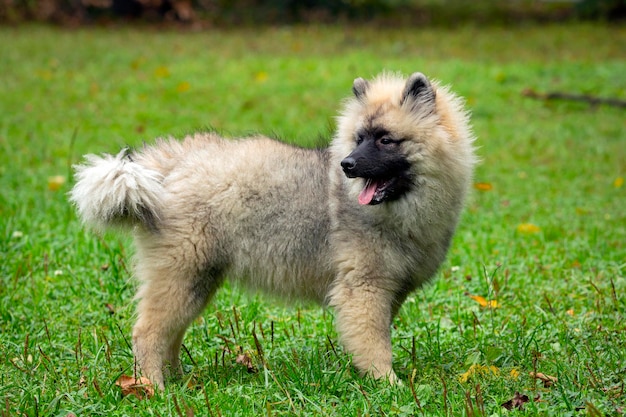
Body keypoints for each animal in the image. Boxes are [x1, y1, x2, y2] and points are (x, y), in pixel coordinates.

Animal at [70, 71, 476, 386]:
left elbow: (371, 339)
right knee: (148, 333)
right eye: (358, 139)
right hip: (183, 273)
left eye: (385, 139)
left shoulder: (387, 293)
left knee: (169, 333)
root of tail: (168, 167)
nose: (347, 164)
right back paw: (152, 387)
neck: (401, 209)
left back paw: (177, 379)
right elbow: (375, 345)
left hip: (196, 280)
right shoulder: (364, 290)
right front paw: (388, 384)